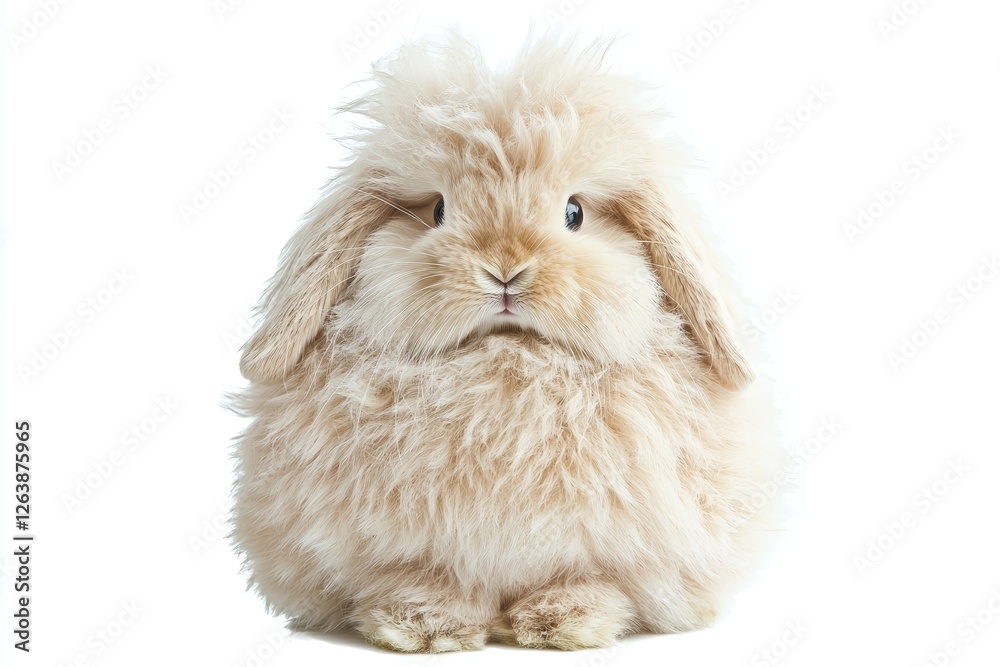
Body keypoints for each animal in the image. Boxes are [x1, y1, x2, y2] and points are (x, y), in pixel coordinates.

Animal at [230, 32, 786, 653]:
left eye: (574, 213)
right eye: (438, 210)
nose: (504, 270)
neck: (506, 362)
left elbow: (590, 576)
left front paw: (565, 620)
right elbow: (423, 576)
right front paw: (422, 624)